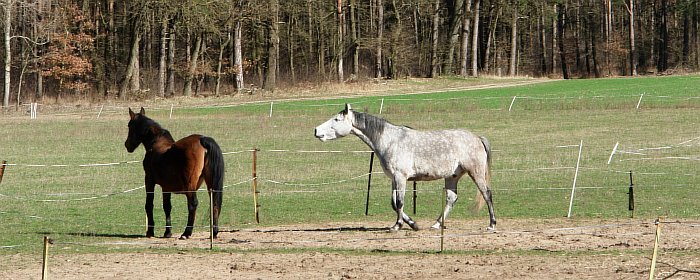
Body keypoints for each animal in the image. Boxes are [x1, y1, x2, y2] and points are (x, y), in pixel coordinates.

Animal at [125, 107, 224, 238]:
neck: (156, 143)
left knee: (193, 204)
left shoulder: (149, 181)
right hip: (211, 184)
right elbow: (167, 207)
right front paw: (168, 232)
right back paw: (214, 232)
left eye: (129, 126)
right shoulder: (166, 187)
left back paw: (187, 232)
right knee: (215, 202)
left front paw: (150, 231)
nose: (127, 145)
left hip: (190, 185)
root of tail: (202, 139)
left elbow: (149, 205)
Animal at [314, 104, 494, 231]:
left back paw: (492, 224)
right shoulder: (394, 179)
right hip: (452, 177)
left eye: (336, 120)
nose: (316, 130)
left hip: (475, 173)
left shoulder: (401, 177)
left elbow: (400, 202)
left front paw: (397, 225)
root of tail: (477, 137)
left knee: (487, 194)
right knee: (451, 198)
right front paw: (413, 224)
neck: (390, 140)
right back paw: (436, 225)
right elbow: (394, 203)